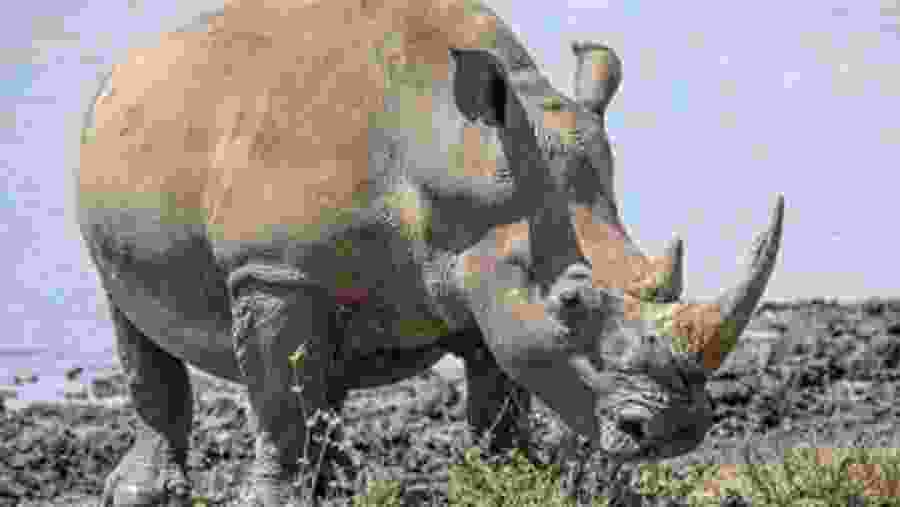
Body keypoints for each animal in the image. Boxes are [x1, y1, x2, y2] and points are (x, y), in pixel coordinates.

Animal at [77, 0, 784, 505]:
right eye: (571, 301)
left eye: (657, 283)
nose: (676, 430)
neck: (454, 152)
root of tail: (129, 63)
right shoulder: (271, 271)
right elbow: (277, 399)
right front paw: (272, 500)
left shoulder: (488, 265)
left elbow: (500, 399)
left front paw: (510, 479)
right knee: (133, 321)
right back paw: (143, 494)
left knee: (323, 370)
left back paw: (340, 484)